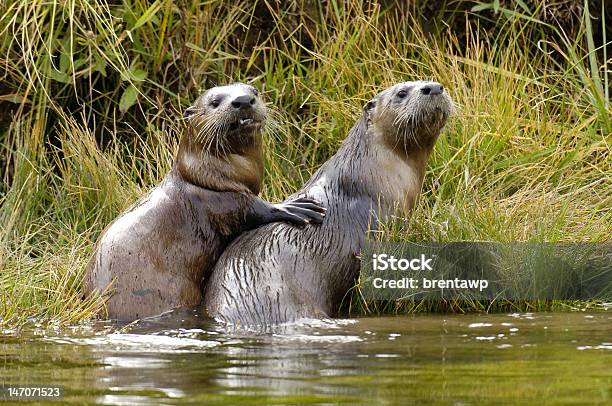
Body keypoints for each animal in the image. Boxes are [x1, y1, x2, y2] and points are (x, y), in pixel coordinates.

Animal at [85, 83, 330, 320]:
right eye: (214, 102)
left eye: (254, 91)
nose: (243, 100)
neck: (206, 176)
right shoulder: (218, 200)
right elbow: (253, 210)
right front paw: (291, 207)